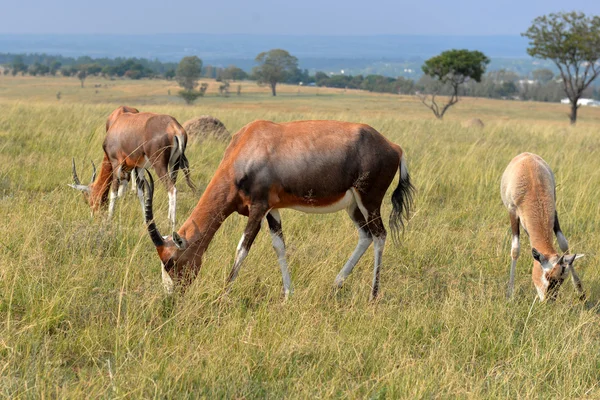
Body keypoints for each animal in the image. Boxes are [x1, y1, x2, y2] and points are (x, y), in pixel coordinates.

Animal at [142, 119, 412, 300]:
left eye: (170, 261)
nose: (171, 297)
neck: (250, 143)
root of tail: (395, 147)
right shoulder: (272, 210)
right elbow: (279, 247)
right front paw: (288, 294)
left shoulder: (258, 208)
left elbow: (242, 249)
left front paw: (223, 294)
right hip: (354, 206)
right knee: (366, 235)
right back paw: (335, 285)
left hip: (369, 201)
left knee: (380, 235)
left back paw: (373, 295)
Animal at [500, 152, 584, 300]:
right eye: (548, 276)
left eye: (561, 280)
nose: (548, 301)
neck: (532, 186)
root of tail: (526, 154)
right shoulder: (513, 212)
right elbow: (515, 250)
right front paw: (509, 295)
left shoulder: (554, 212)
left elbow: (564, 244)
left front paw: (580, 291)